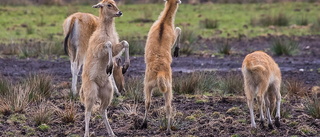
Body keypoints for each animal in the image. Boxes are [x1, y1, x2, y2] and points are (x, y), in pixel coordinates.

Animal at [79, 0, 129, 136]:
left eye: (114, 2)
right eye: (108, 5)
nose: (119, 12)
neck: (107, 31)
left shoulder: (117, 46)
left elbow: (125, 43)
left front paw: (125, 66)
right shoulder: (98, 50)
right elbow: (108, 44)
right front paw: (109, 66)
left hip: (108, 92)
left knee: (102, 110)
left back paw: (112, 133)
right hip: (91, 92)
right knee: (88, 112)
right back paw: (86, 134)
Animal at [141, 0, 181, 133]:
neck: (163, 22)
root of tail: (160, 74)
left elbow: (178, 29)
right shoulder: (173, 36)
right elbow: (178, 29)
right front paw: (176, 51)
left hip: (151, 86)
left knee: (152, 103)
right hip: (166, 87)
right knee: (163, 105)